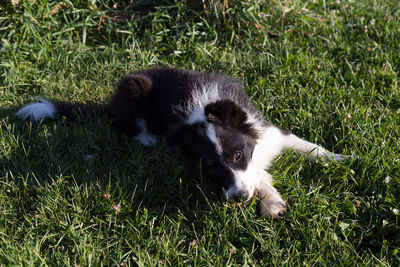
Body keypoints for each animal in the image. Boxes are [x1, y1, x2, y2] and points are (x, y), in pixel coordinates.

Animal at [15, 67, 348, 220]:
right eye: (211, 167)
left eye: (237, 154)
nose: (238, 199)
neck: (204, 112)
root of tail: (108, 106)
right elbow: (259, 177)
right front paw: (271, 201)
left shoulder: (269, 135)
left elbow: (307, 146)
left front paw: (344, 160)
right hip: (134, 88)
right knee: (129, 127)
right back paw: (149, 139)